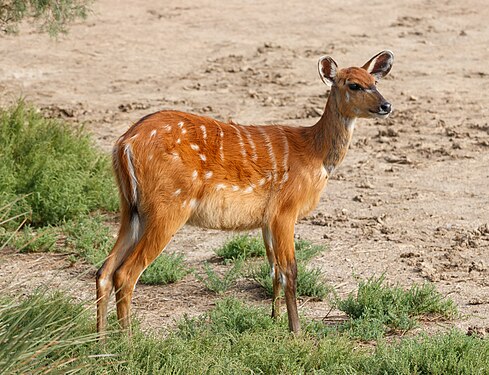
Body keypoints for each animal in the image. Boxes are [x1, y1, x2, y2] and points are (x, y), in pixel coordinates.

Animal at [95, 50, 392, 338]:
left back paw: (100, 340)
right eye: (354, 85)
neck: (314, 152)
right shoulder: (285, 210)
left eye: (375, 82)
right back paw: (129, 342)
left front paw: (274, 319)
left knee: (104, 271)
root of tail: (125, 143)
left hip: (131, 208)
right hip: (168, 207)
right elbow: (290, 269)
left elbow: (273, 268)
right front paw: (296, 332)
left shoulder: (266, 218)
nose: (386, 106)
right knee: (125, 274)